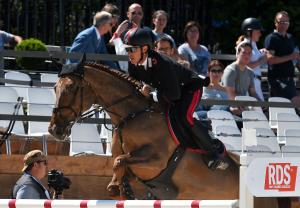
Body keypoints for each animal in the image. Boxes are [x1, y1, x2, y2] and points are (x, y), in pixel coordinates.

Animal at [48, 62, 282, 207]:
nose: (54, 130)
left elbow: (119, 161)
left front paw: (116, 188)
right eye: (54, 88)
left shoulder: (157, 160)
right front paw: (122, 190)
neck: (131, 116)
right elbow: (120, 166)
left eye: (71, 88)